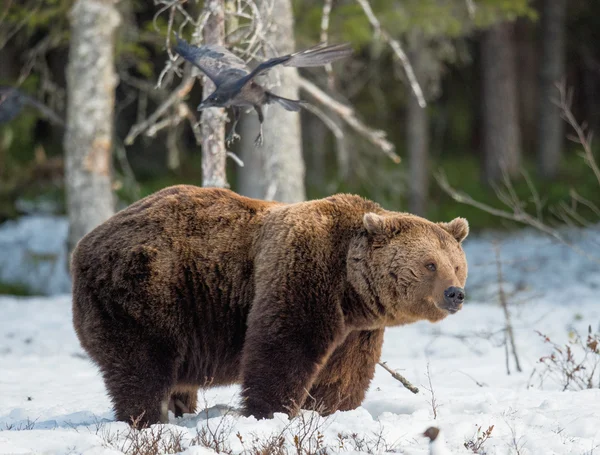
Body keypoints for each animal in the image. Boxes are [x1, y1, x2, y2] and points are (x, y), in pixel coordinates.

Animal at [71, 185, 468, 428]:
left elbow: (344, 373)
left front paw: (330, 411)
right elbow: (282, 350)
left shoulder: (358, 328)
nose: (455, 293)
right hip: (145, 289)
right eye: (430, 264)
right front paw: (271, 413)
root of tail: (84, 245)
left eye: (456, 264)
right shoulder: (302, 274)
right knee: (142, 366)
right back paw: (148, 420)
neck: (350, 287)